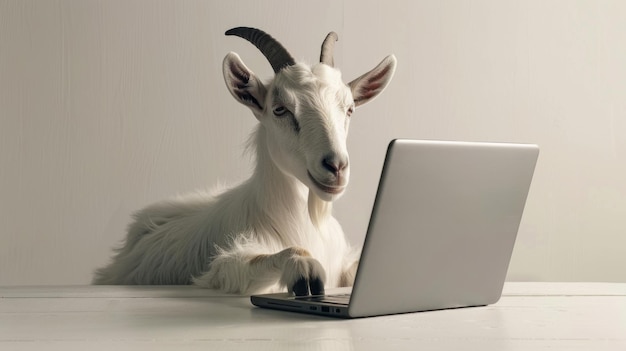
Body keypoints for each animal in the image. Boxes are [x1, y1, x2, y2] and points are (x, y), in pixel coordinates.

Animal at [92, 27, 394, 296]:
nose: (336, 166)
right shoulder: (224, 265)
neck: (306, 222)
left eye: (349, 109)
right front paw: (303, 267)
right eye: (280, 109)